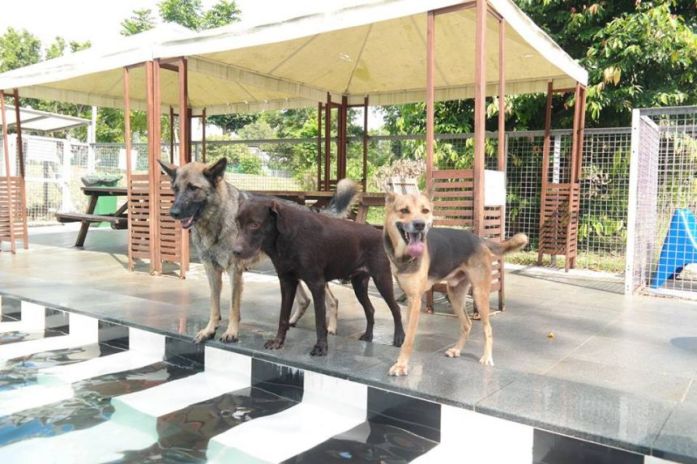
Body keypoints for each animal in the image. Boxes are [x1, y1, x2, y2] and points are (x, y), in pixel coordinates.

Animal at [156, 160, 354, 344]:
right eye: (175, 189)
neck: (215, 220)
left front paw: (231, 332)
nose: (173, 213)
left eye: (193, 188)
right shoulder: (211, 271)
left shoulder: (234, 271)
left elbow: (234, 307)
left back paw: (331, 328)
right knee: (305, 300)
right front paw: (209, 330)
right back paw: (291, 322)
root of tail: (310, 209)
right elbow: (214, 304)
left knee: (333, 301)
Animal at [231, 196, 406, 356]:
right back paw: (368, 336)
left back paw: (399, 338)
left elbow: (319, 320)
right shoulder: (287, 282)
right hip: (359, 285)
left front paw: (321, 347)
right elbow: (283, 317)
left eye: (254, 224)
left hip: (382, 279)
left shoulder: (316, 284)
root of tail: (378, 233)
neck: (288, 237)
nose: (235, 252)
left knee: (396, 308)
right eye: (237, 224)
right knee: (370, 309)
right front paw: (278, 342)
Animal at [384, 190, 524, 376]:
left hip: (479, 294)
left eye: (425, 211)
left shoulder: (415, 300)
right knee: (467, 324)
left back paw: (487, 357)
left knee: (487, 328)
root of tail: (479, 239)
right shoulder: (409, 296)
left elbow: (409, 340)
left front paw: (401, 365)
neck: (404, 255)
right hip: (455, 294)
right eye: (404, 210)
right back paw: (457, 350)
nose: (420, 225)